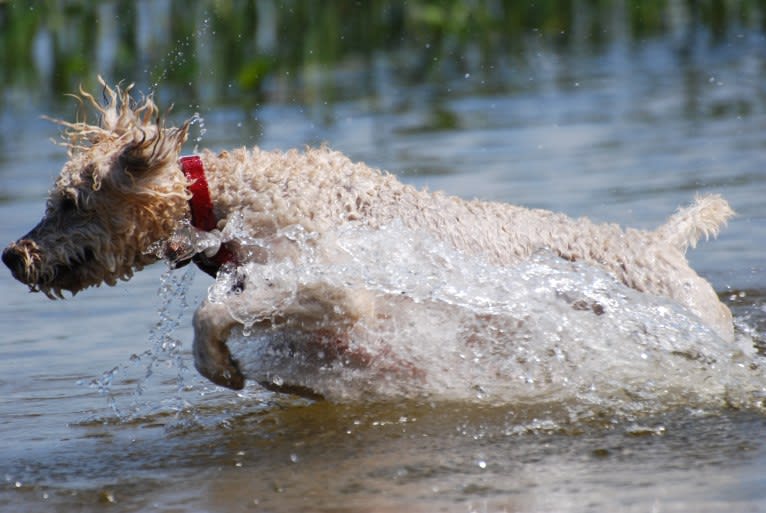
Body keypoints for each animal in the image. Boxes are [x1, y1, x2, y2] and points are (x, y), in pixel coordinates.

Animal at [4, 79, 736, 392]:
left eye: (69, 200)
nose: (12, 254)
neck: (241, 200)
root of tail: (665, 246)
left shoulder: (342, 290)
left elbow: (211, 316)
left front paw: (220, 366)